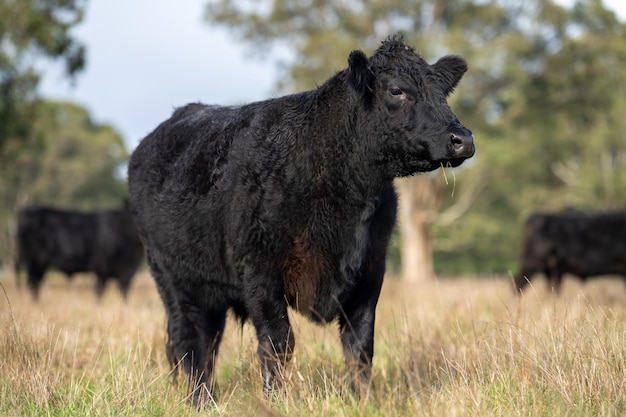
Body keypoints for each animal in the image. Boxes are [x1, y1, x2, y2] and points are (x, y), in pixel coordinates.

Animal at [14, 202, 144, 298]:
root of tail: (26, 210)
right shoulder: (101, 269)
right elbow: (99, 293)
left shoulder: (127, 273)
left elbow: (124, 294)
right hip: (33, 261)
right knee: (32, 284)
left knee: (36, 283)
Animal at [128, 35, 472, 406]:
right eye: (396, 90)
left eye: (443, 91)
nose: (463, 139)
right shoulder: (260, 274)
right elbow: (278, 344)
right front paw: (275, 402)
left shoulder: (370, 272)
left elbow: (360, 346)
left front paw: (365, 402)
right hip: (172, 278)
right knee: (189, 339)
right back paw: (200, 401)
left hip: (210, 289)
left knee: (208, 342)